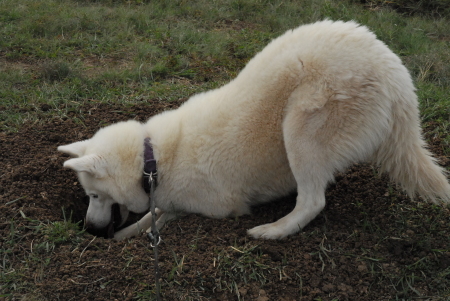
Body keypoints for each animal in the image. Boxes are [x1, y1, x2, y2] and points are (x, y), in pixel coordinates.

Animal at [58, 19, 448, 239]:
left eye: (94, 195)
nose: (89, 230)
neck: (152, 159)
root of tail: (395, 72)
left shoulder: (215, 206)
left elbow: (162, 214)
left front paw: (129, 233)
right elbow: (152, 215)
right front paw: (126, 233)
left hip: (301, 128)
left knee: (313, 200)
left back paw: (272, 232)